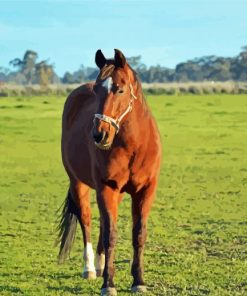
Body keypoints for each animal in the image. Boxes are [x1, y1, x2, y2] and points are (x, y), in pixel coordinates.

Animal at [57, 49, 162, 296]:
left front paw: (139, 281)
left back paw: (100, 263)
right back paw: (90, 268)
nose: (99, 134)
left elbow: (138, 233)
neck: (134, 145)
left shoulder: (145, 190)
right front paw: (109, 284)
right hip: (79, 183)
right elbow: (110, 235)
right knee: (86, 219)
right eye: (97, 90)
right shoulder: (106, 188)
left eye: (120, 89)